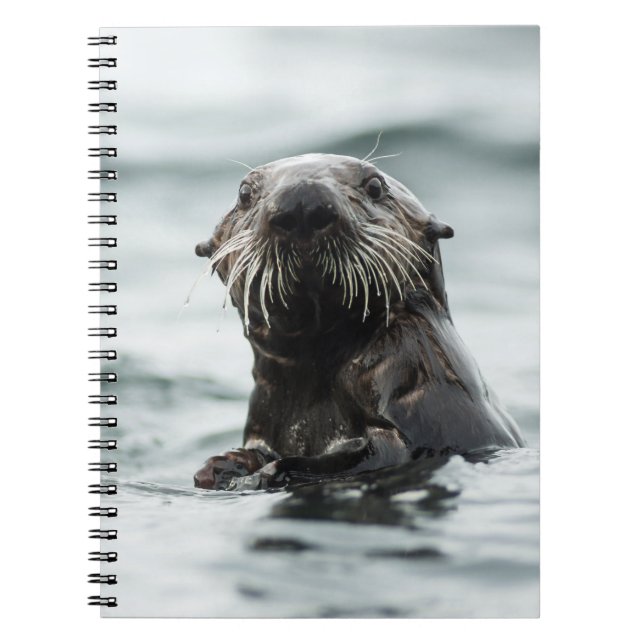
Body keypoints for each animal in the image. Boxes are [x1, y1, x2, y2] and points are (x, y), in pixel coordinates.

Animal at [193, 153, 524, 490]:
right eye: (245, 193)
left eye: (375, 186)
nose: (302, 202)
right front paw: (222, 466)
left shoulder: (415, 372)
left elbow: (379, 452)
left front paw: (264, 473)